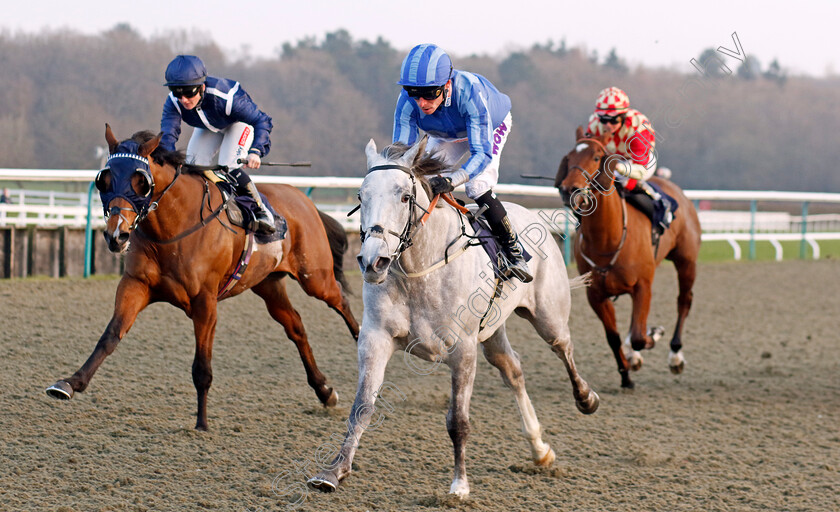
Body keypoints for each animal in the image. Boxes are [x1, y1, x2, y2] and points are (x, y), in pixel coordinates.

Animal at [46, 126, 360, 430]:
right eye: (105, 179)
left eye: (141, 182)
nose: (116, 235)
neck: (172, 229)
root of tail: (304, 201)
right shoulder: (136, 285)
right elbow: (110, 336)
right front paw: (70, 383)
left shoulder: (205, 302)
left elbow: (202, 367)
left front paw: (202, 422)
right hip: (268, 284)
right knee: (295, 326)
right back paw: (324, 390)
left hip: (315, 277)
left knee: (341, 301)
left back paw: (363, 346)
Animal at [308, 138, 596, 498]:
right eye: (361, 196)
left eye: (404, 197)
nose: (373, 262)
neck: (419, 271)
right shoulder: (375, 338)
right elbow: (362, 407)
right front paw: (334, 471)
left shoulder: (463, 350)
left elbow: (458, 421)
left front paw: (459, 484)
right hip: (492, 331)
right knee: (513, 370)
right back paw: (540, 449)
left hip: (548, 317)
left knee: (564, 348)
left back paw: (586, 398)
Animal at [556, 127, 704, 388]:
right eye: (569, 156)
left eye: (596, 156)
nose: (568, 189)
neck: (608, 239)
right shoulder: (596, 294)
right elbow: (614, 337)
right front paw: (625, 375)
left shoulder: (643, 286)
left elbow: (639, 336)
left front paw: (654, 334)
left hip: (686, 262)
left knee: (684, 301)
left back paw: (675, 355)